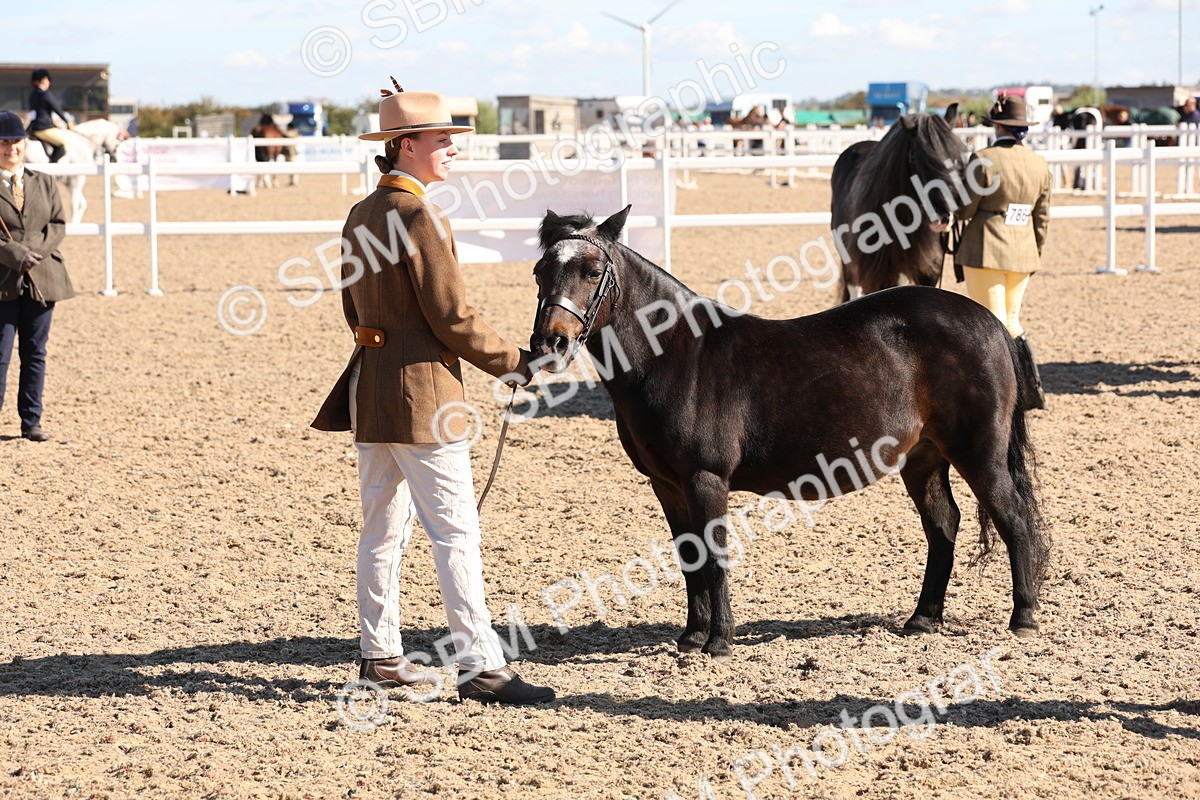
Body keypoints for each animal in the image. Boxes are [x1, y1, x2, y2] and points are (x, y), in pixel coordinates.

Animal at [529, 206, 1049, 658]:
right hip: (923, 459)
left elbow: (713, 555)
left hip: (979, 454)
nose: (550, 342)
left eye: (593, 270)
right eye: (539, 272)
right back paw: (923, 619)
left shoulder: (705, 479)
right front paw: (691, 637)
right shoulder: (667, 484)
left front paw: (719, 641)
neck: (674, 354)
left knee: (1014, 518)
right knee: (943, 524)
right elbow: (689, 556)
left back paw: (1023, 618)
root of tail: (989, 322)